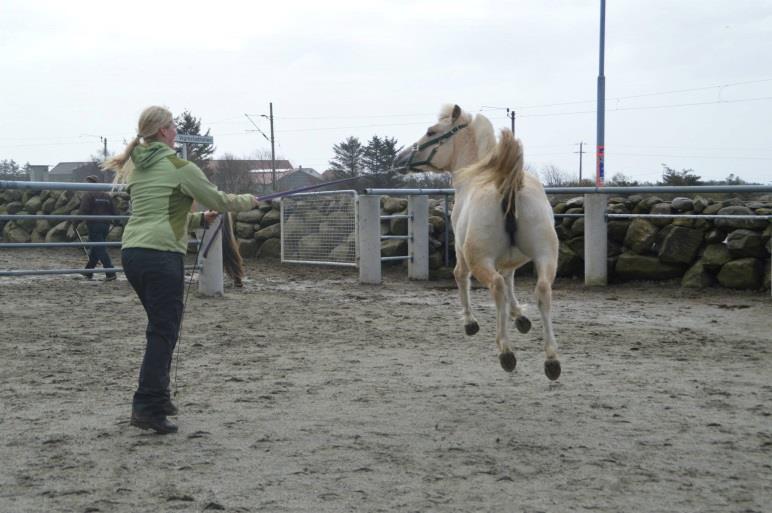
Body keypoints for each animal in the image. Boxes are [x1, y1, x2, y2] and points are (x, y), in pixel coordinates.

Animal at [398, 104, 560, 378]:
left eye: (431, 131)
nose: (400, 159)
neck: (478, 172)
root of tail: (508, 184)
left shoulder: (462, 252)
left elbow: (461, 276)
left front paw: (469, 322)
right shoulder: (511, 259)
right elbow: (510, 278)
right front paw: (520, 318)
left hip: (481, 260)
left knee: (496, 287)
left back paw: (506, 352)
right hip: (545, 257)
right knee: (541, 291)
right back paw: (551, 360)